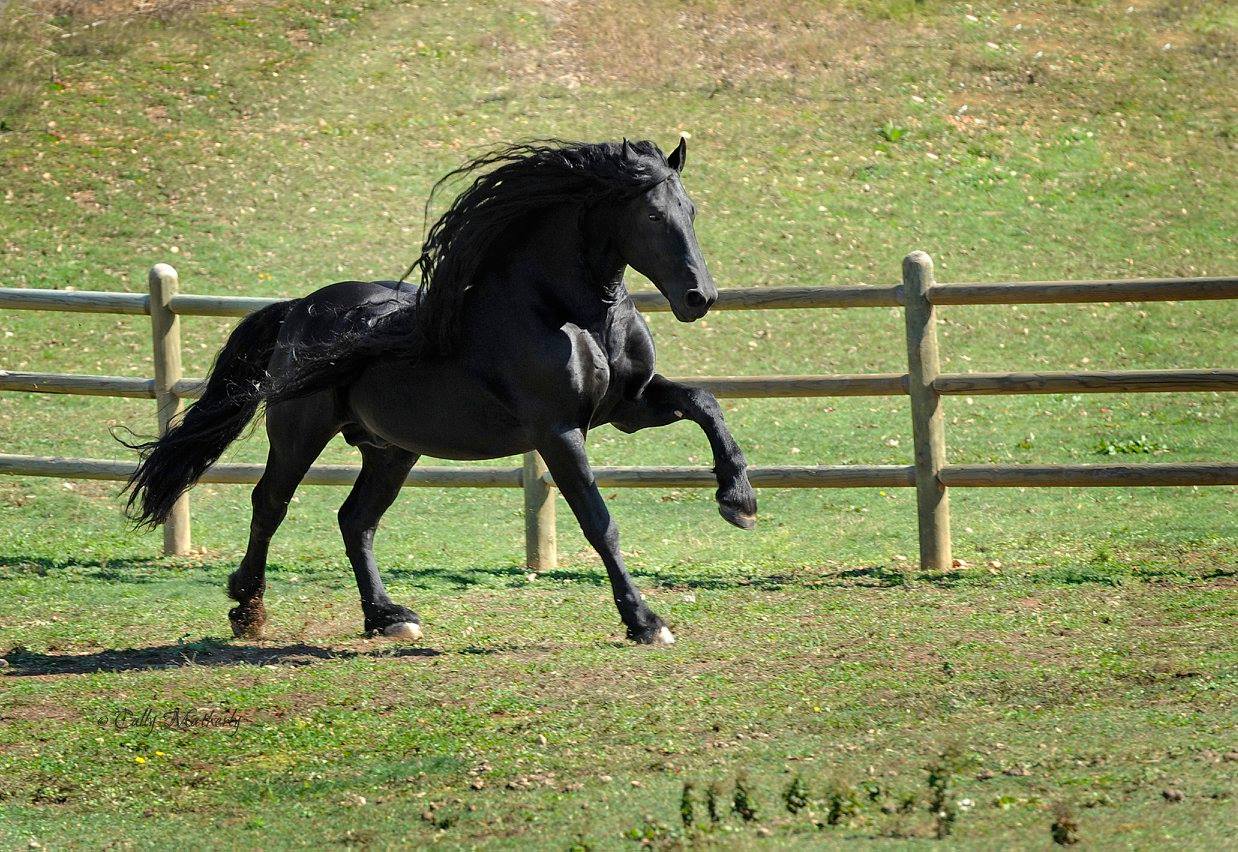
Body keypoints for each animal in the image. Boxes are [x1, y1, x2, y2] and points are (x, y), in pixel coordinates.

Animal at [122, 138, 756, 646]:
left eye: (691, 210)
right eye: (651, 214)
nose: (699, 297)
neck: (564, 312)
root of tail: (298, 308)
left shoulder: (627, 407)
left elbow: (704, 402)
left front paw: (738, 501)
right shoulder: (559, 431)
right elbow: (600, 522)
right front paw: (645, 622)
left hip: (390, 449)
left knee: (355, 521)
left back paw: (386, 617)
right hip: (301, 433)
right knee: (270, 505)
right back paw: (248, 610)